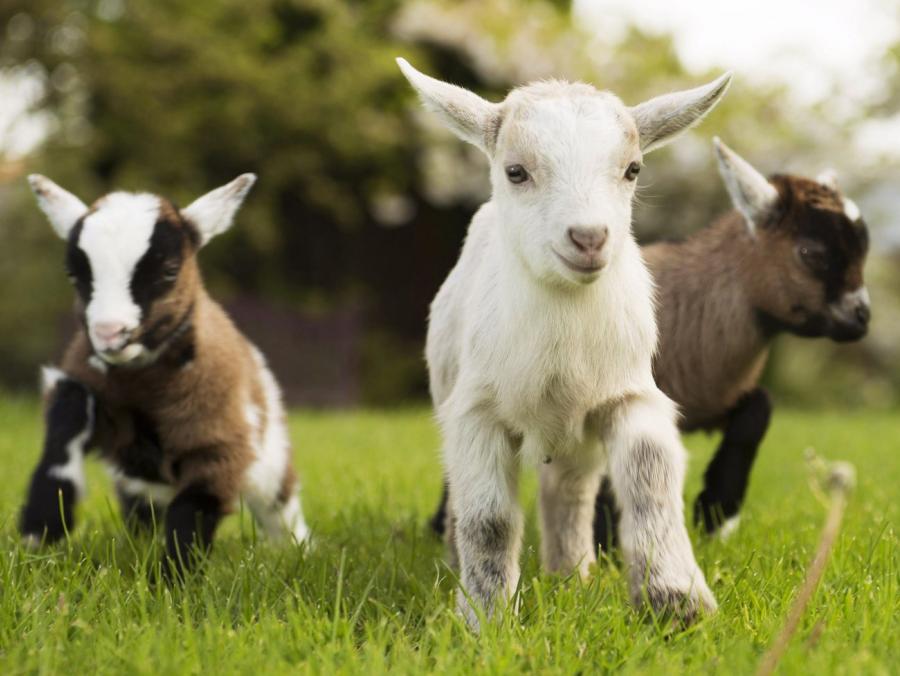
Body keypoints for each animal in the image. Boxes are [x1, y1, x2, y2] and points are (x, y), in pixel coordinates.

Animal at [20, 174, 310, 576]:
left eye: (170, 271)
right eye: (74, 275)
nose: (110, 333)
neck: (142, 385)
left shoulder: (218, 442)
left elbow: (194, 508)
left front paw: (173, 582)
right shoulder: (91, 394)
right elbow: (68, 415)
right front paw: (39, 529)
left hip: (271, 457)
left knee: (280, 507)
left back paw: (300, 552)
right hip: (140, 483)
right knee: (143, 509)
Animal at [400, 59, 732, 628]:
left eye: (632, 169)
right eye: (516, 171)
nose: (589, 238)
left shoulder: (628, 393)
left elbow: (649, 480)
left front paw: (676, 604)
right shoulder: (476, 413)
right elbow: (488, 519)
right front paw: (485, 618)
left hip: (577, 439)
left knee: (569, 492)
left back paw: (571, 576)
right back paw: (461, 567)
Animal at [596, 137, 868, 544]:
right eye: (812, 253)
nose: (862, 317)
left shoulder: (714, 399)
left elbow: (759, 407)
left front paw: (715, 511)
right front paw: (603, 542)